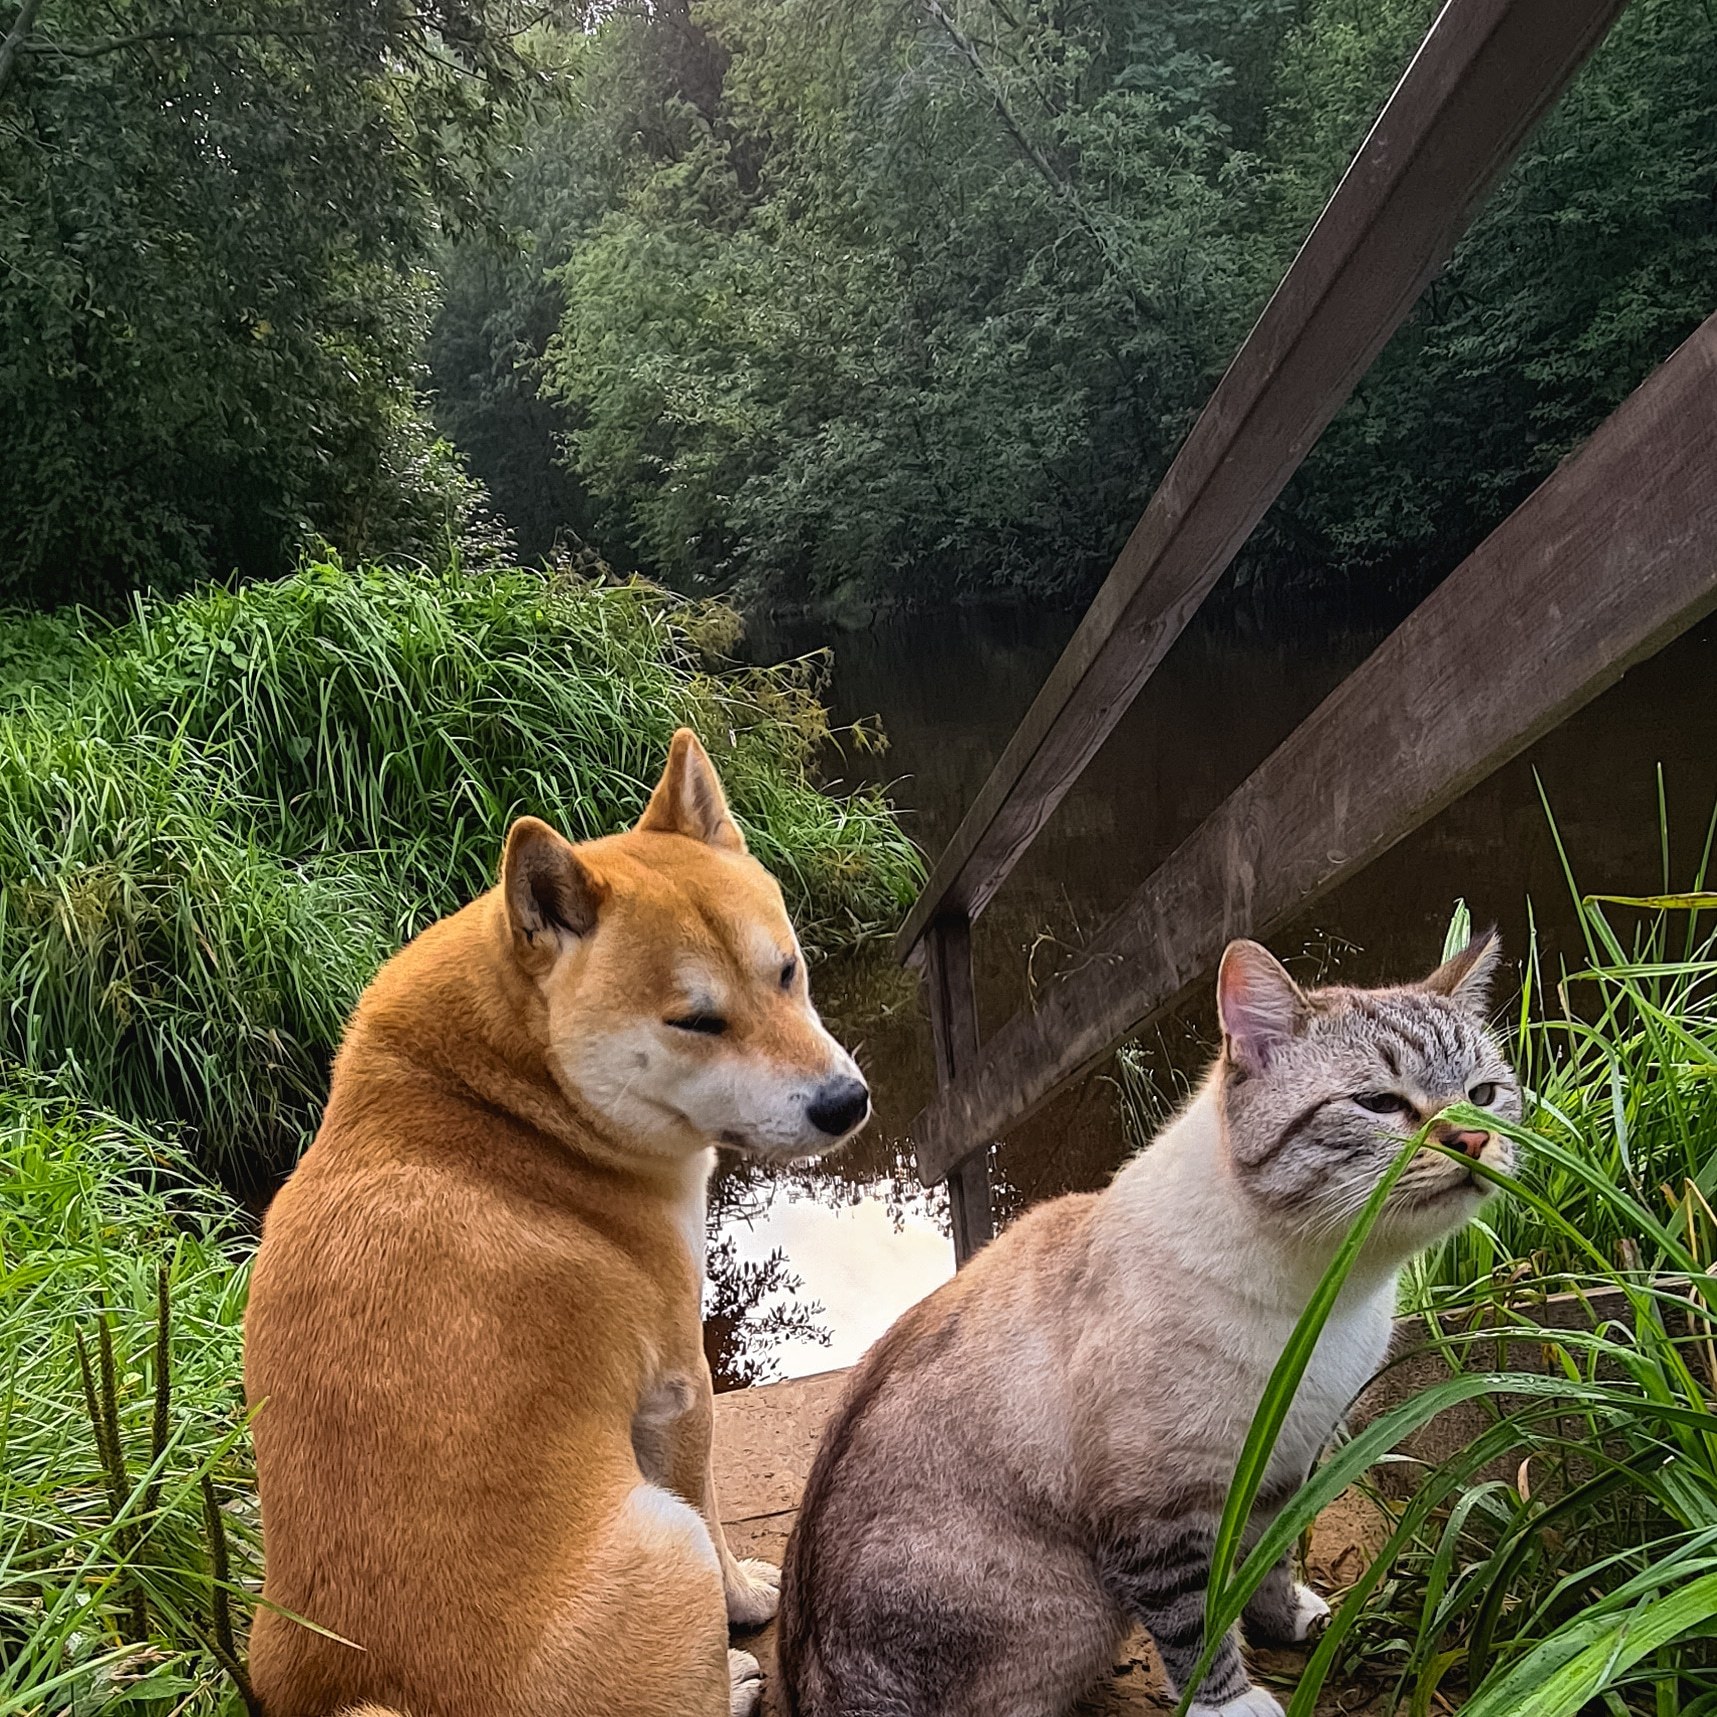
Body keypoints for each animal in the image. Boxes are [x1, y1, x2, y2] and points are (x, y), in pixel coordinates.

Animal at [242, 731, 872, 1717]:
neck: (511, 1108)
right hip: (658, 1533)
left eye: (788, 970)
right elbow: (717, 1523)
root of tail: (383, 1690)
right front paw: (744, 1602)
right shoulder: (680, 1386)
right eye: (697, 1020)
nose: (845, 1102)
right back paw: (731, 1681)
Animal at [779, 940, 1517, 1717]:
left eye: (1483, 1094)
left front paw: (1283, 1619)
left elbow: (1266, 1561)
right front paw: (1228, 1700)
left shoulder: (1286, 1462)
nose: (1474, 1136)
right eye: (1379, 1103)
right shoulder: (1157, 1510)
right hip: (1077, 1609)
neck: (1330, 1293)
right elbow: (1193, 1620)